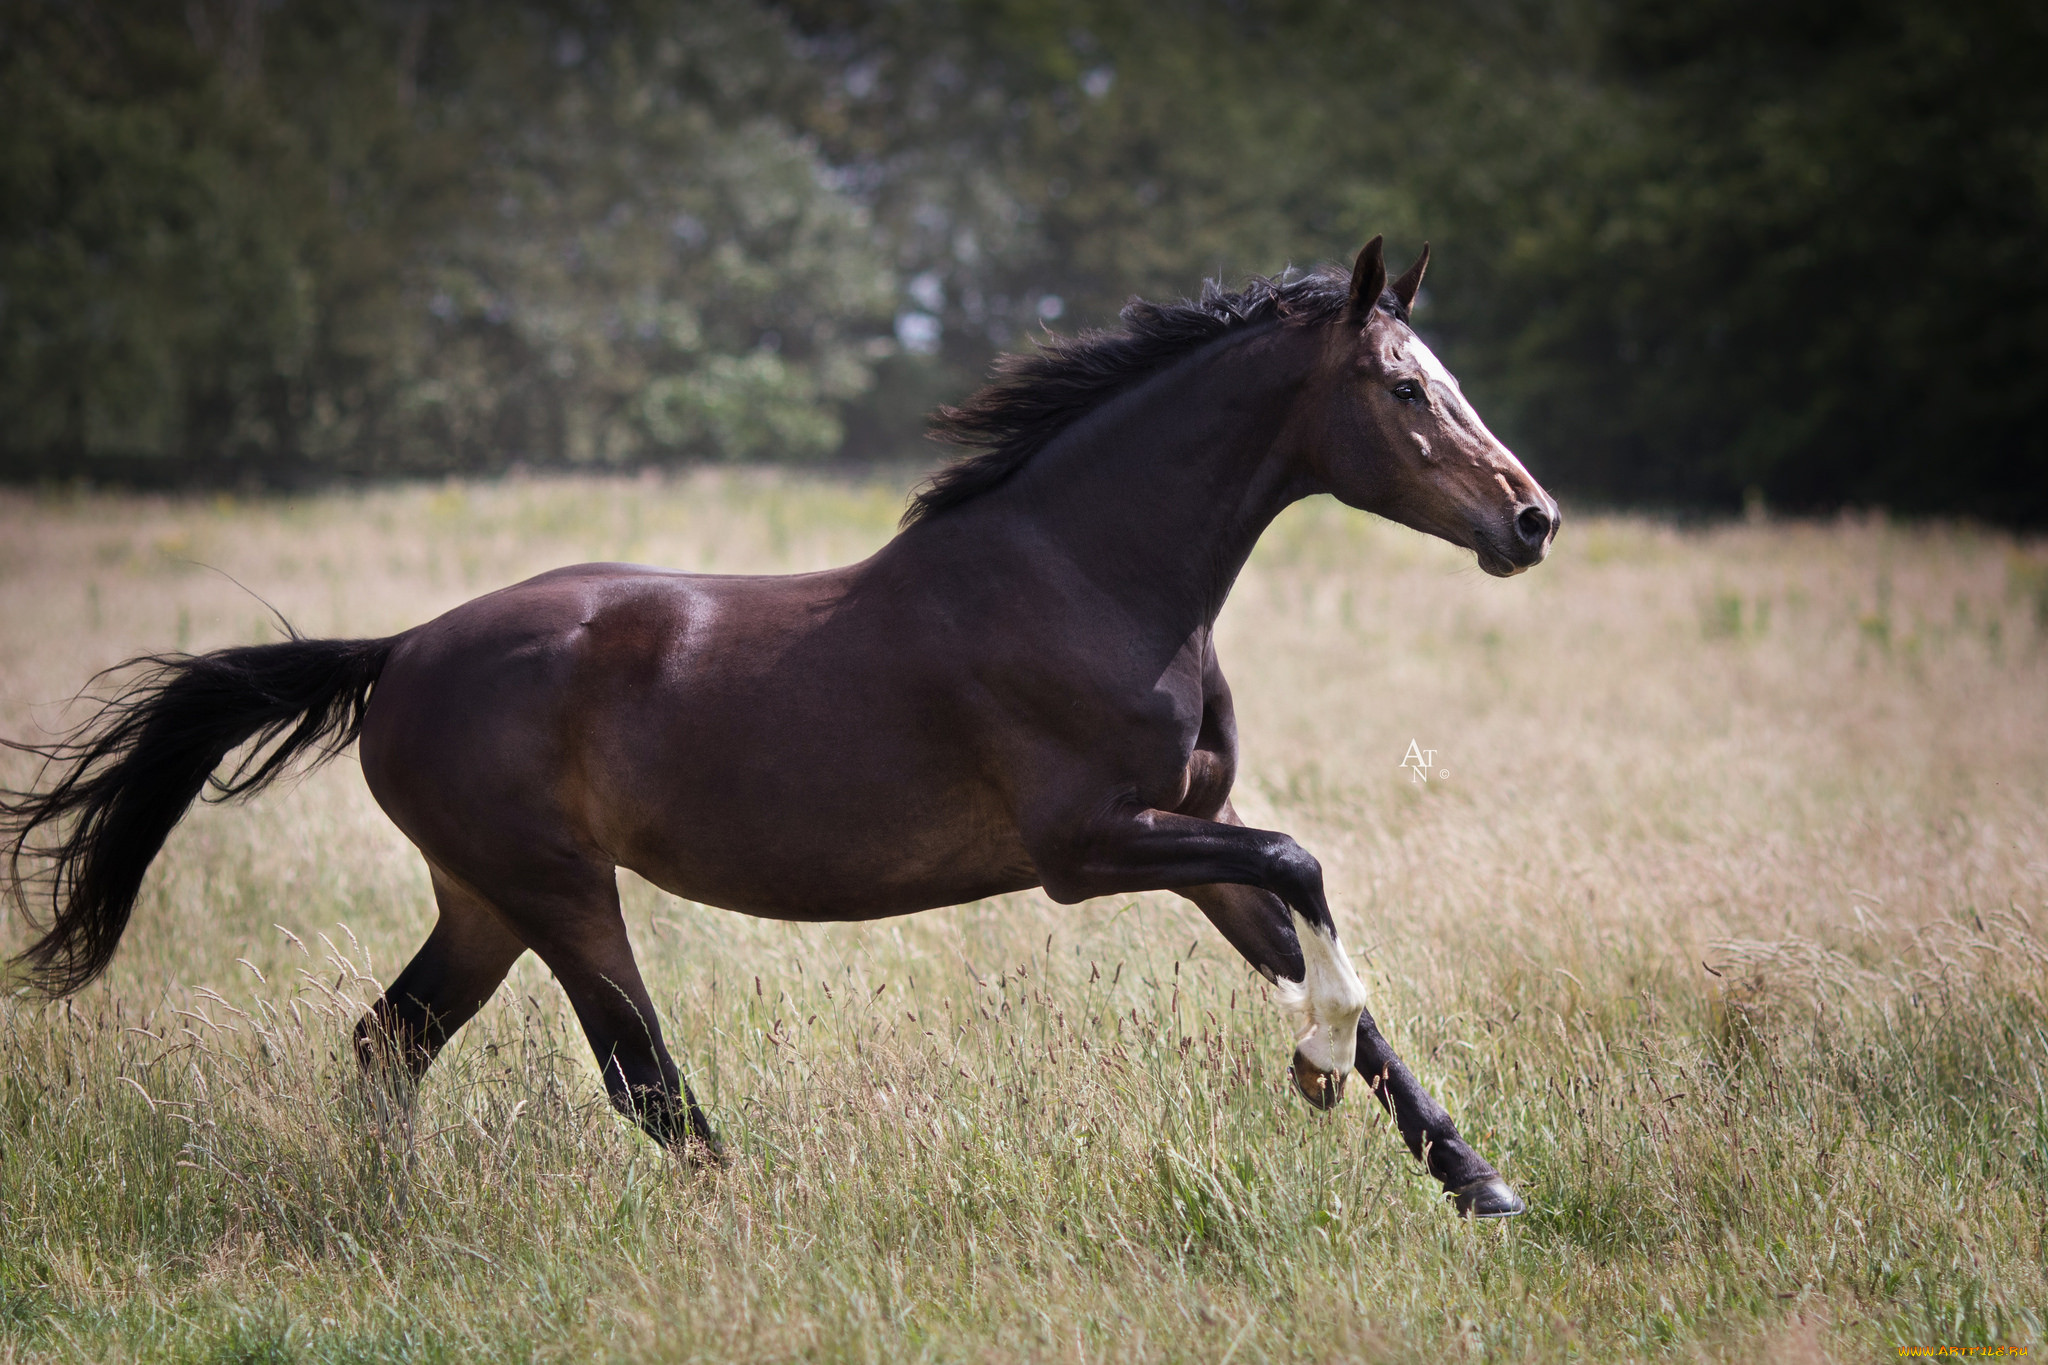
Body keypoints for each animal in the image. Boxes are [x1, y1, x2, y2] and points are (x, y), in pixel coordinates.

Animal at [8, 235, 1556, 1219]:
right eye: (1405, 389)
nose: (1530, 519)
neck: (1087, 574)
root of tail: (398, 656)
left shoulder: (1188, 828)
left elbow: (1328, 966)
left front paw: (1477, 1180)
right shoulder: (1089, 846)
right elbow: (1306, 869)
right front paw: (1314, 1072)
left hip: (482, 899)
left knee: (392, 1042)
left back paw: (389, 1215)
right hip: (556, 890)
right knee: (638, 1082)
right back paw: (743, 1218)